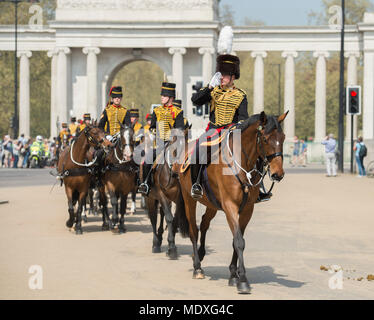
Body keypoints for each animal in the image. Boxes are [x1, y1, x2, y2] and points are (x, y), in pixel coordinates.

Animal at [177, 111, 288, 294]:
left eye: (283, 137)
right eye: (265, 139)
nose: (278, 174)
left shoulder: (247, 209)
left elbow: (237, 239)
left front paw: (233, 274)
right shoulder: (230, 206)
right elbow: (239, 241)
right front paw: (242, 280)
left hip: (212, 204)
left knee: (204, 224)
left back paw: (200, 254)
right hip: (189, 199)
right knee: (194, 230)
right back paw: (197, 267)